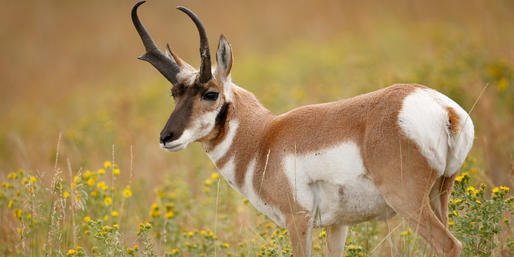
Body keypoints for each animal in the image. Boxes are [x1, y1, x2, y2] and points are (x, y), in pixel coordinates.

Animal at [131, 1, 472, 254]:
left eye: (210, 93)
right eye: (174, 93)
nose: (166, 137)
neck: (263, 138)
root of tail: (442, 107)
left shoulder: (298, 221)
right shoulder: (337, 226)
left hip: (409, 202)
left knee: (450, 245)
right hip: (439, 195)